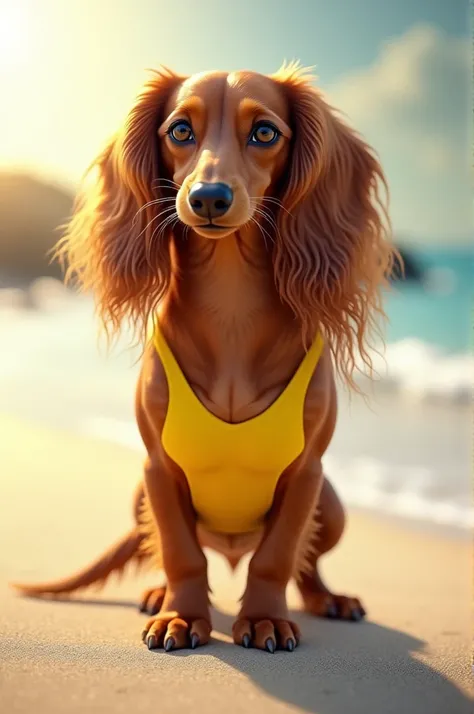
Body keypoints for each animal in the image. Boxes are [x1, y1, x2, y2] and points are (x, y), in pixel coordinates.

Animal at [12, 61, 396, 652]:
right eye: (180, 130)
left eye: (264, 132)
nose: (208, 197)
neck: (229, 301)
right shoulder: (157, 469)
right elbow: (179, 552)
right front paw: (180, 615)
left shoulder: (307, 472)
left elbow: (278, 556)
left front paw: (263, 618)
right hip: (137, 497)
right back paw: (156, 594)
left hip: (332, 504)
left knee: (305, 564)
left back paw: (327, 599)